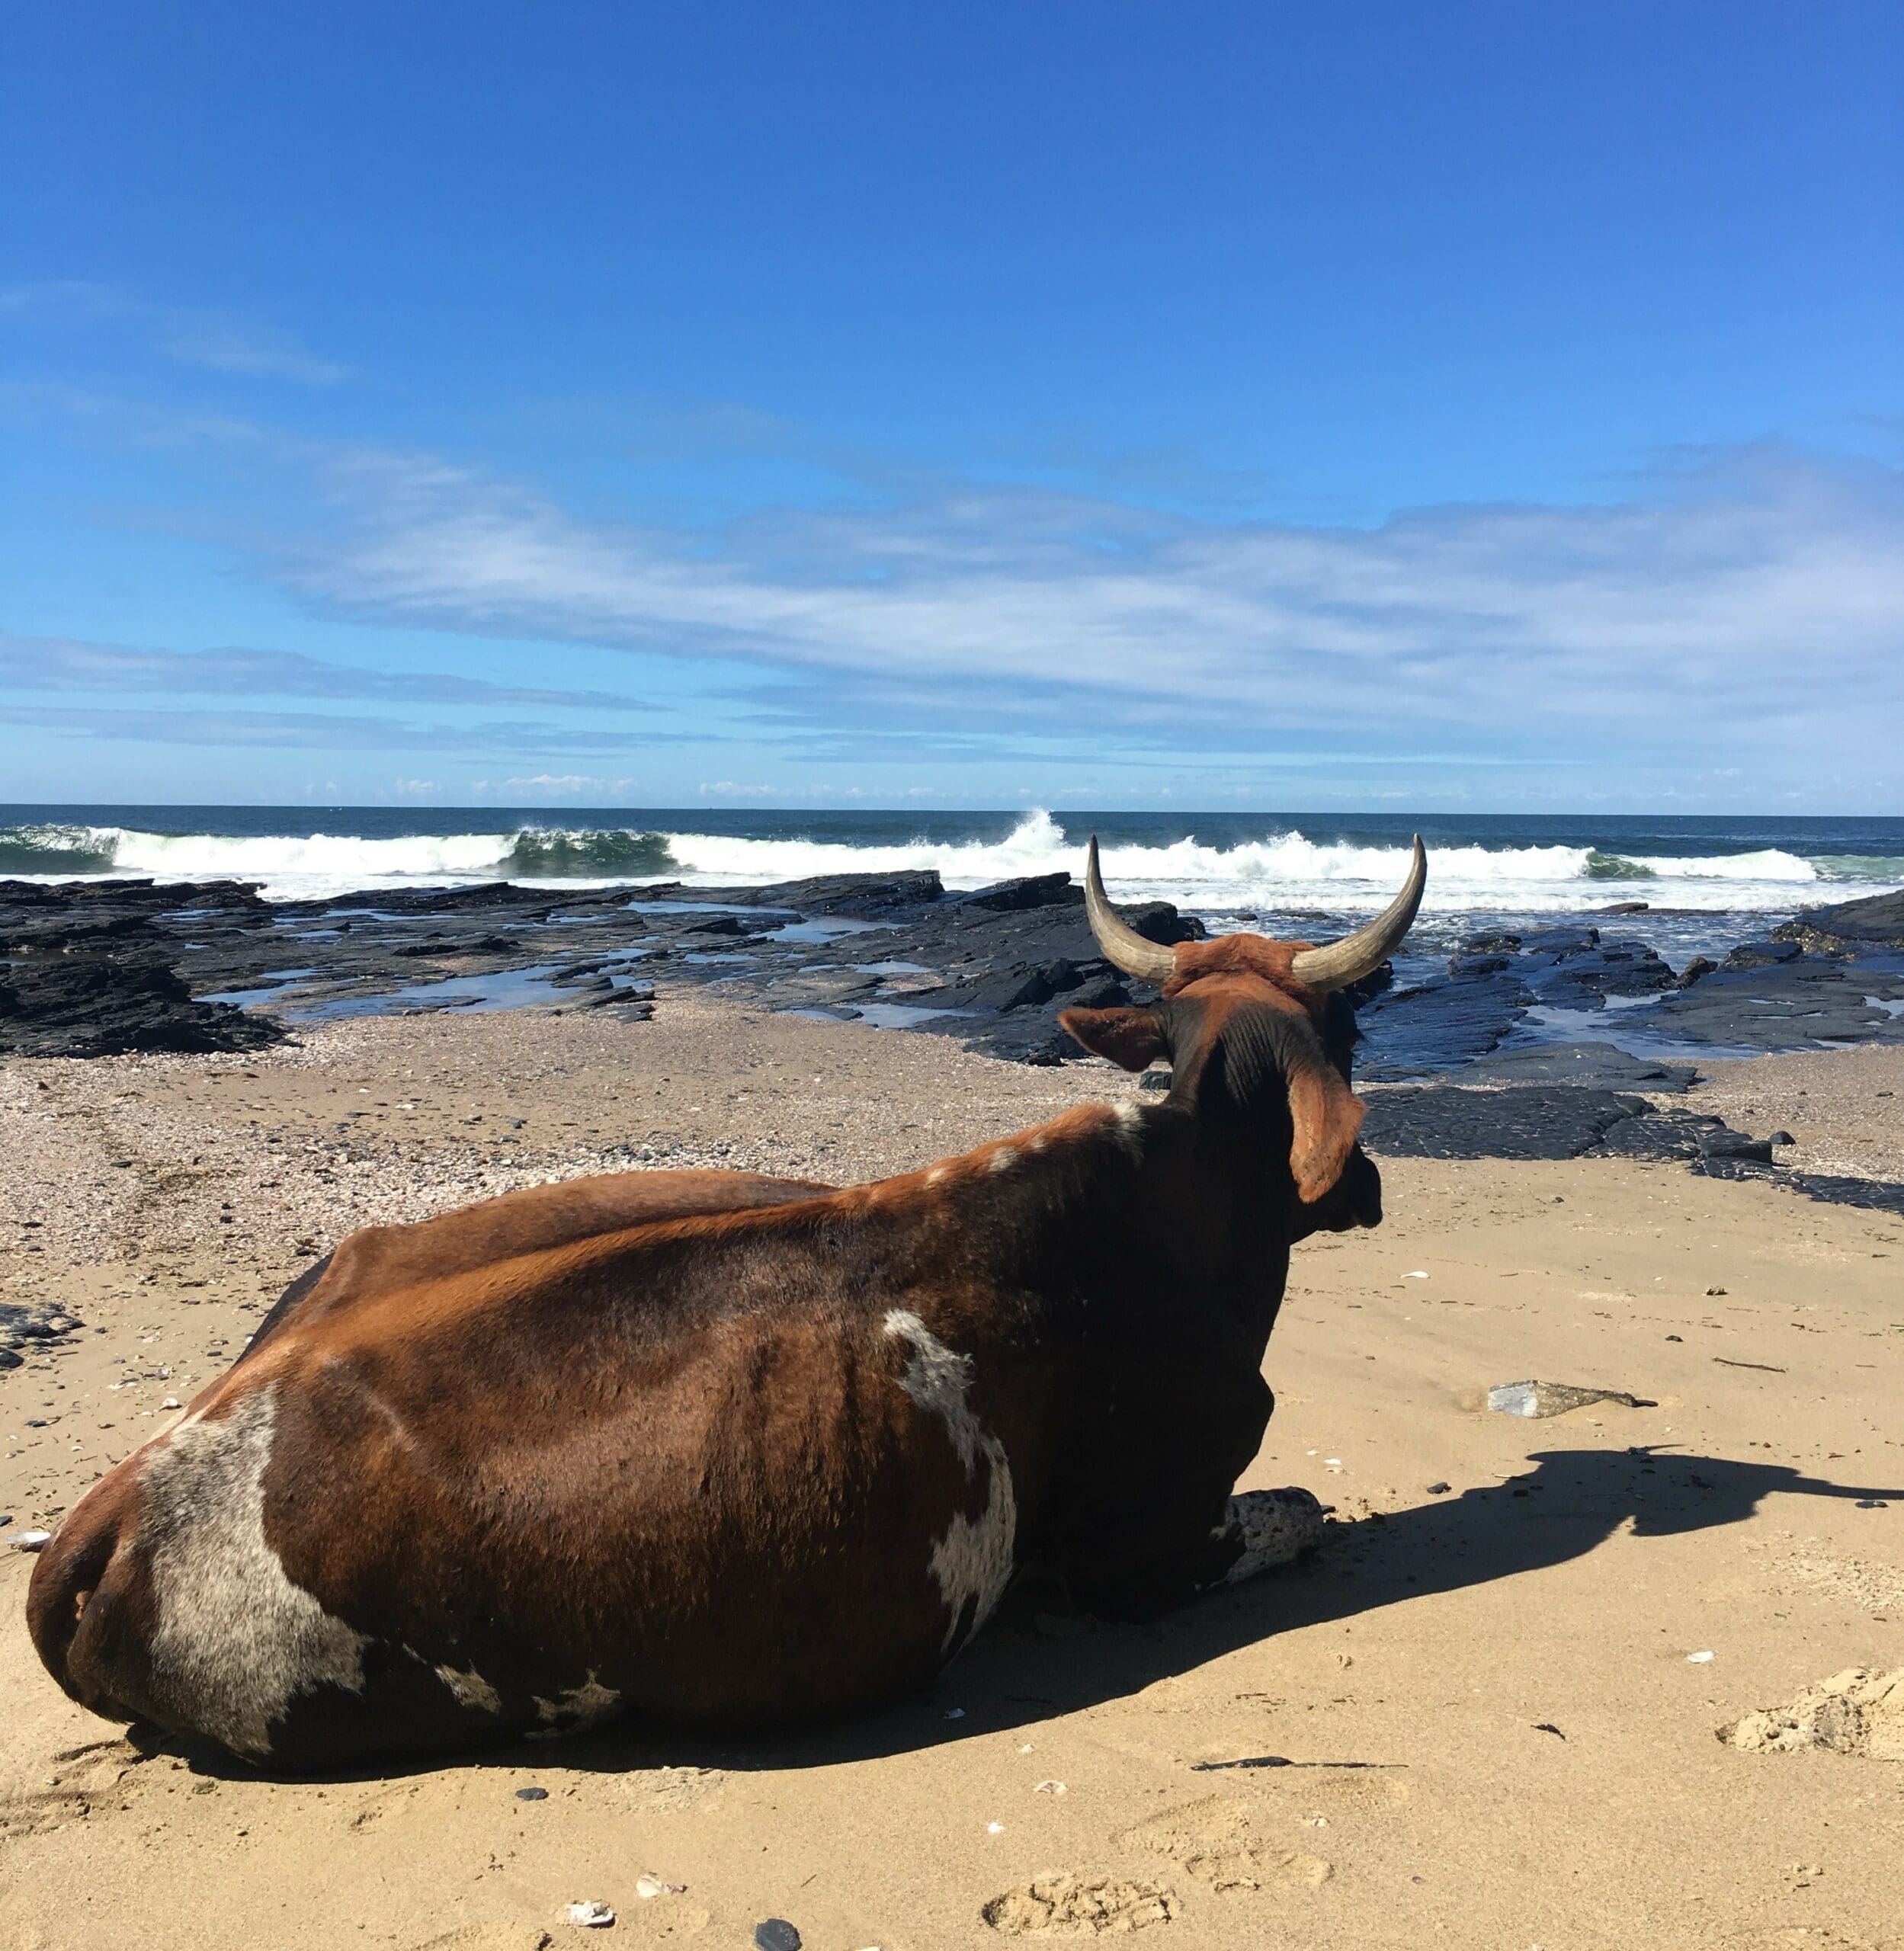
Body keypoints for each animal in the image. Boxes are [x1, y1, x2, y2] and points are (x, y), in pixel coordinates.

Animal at [27, 838, 1425, 1768]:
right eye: (1351, 1036)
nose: (1363, 1184)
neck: (1161, 1210)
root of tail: (114, 1510)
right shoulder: (1144, 1551)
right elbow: (1304, 1512)